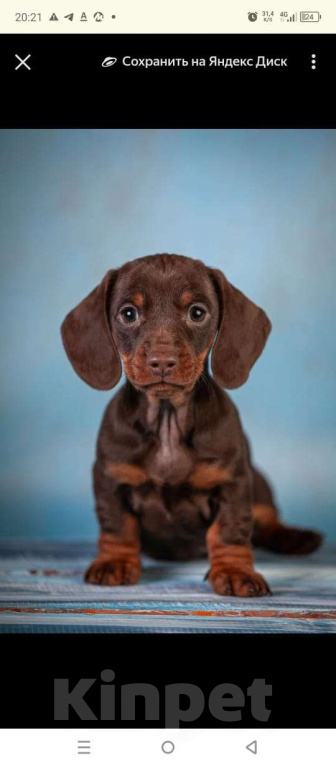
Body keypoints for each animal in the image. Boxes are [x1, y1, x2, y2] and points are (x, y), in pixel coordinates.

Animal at [61, 255, 322, 596]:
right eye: (128, 313)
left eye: (197, 312)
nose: (162, 360)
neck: (167, 420)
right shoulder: (111, 477)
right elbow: (118, 526)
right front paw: (114, 561)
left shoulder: (233, 482)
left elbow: (230, 530)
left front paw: (235, 570)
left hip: (258, 482)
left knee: (267, 519)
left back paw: (296, 537)